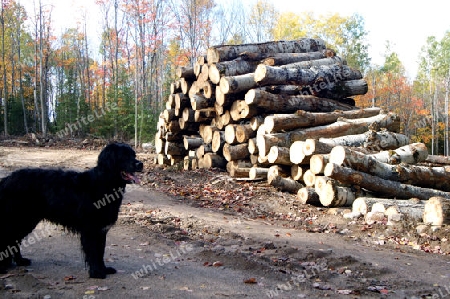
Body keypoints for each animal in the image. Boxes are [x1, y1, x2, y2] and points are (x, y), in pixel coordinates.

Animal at [0, 143, 142, 278]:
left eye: (133, 154)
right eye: (123, 156)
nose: (140, 164)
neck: (104, 184)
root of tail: (6, 179)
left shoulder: (101, 230)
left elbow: (100, 252)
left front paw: (104, 269)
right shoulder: (90, 229)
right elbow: (93, 253)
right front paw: (96, 272)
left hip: (26, 221)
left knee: (14, 242)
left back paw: (20, 261)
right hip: (19, 220)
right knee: (8, 240)